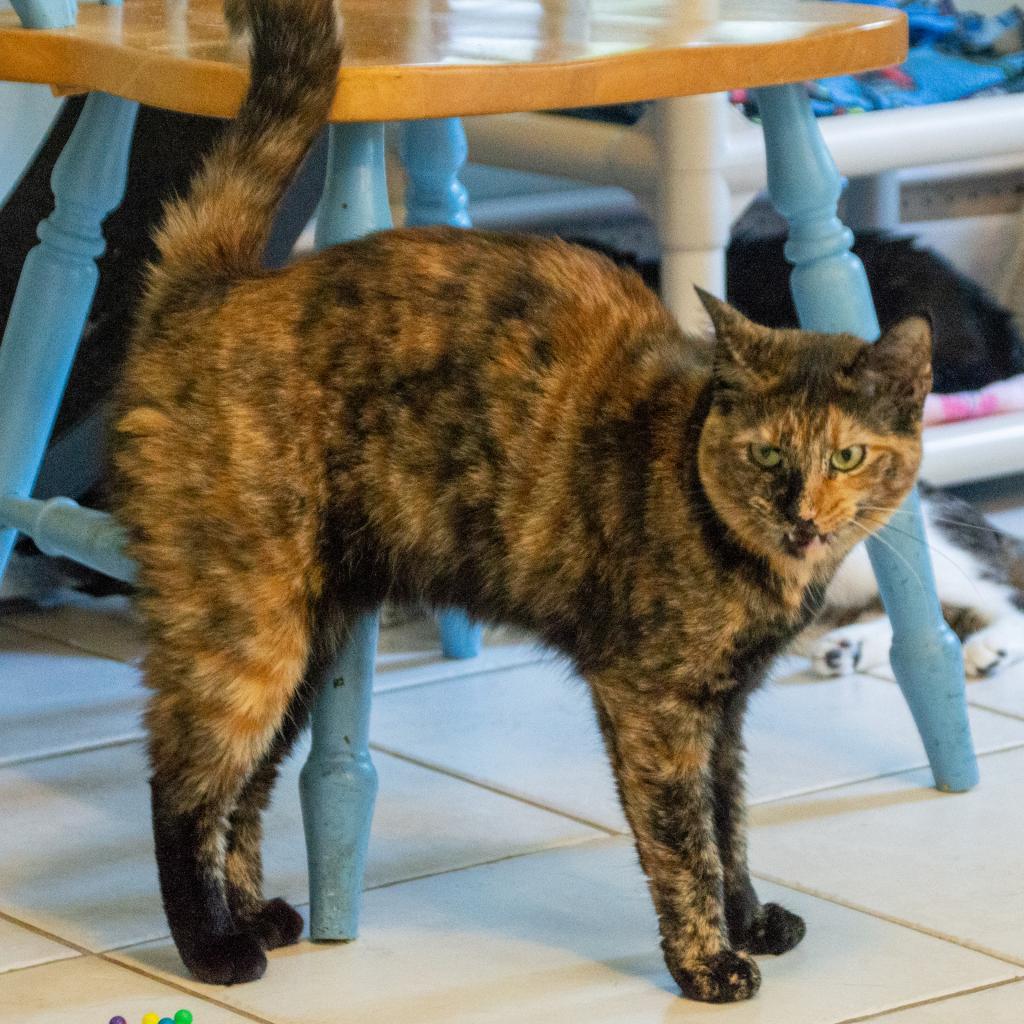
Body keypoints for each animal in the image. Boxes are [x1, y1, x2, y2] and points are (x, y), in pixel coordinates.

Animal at [114, 0, 937, 995]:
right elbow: (685, 842)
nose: (803, 514)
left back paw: (256, 916)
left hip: (309, 638)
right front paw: (708, 962)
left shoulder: (726, 710)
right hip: (250, 626)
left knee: (249, 785)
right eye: (767, 452)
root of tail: (222, 285)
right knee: (184, 782)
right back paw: (215, 949)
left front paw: (749, 919)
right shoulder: (653, 701)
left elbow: (730, 820)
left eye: (849, 455)